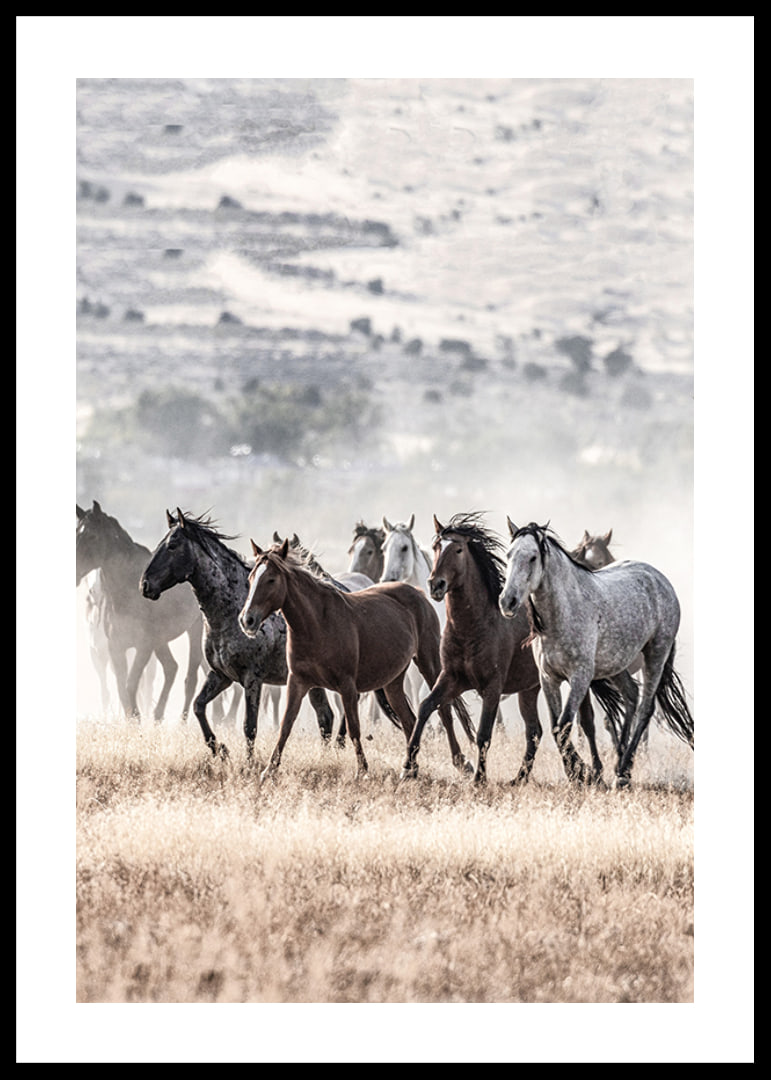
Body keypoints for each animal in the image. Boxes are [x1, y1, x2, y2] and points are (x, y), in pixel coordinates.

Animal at [76, 501, 205, 722]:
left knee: (191, 677)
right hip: (161, 640)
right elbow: (121, 688)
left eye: (92, 536)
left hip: (194, 629)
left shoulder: (144, 646)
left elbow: (130, 684)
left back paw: (181, 721)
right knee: (171, 668)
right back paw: (158, 716)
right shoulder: (116, 647)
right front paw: (133, 720)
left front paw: (136, 719)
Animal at [139, 510, 336, 759]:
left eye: (173, 545)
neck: (231, 613)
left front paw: (249, 764)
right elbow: (198, 706)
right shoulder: (221, 675)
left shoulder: (253, 678)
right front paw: (220, 750)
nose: (145, 585)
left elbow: (249, 726)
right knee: (325, 717)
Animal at [238, 538, 475, 783]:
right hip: (393, 682)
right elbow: (286, 724)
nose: (247, 620)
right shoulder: (298, 682)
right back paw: (411, 768)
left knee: (444, 710)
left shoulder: (347, 686)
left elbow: (353, 727)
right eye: (251, 578)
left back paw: (460, 762)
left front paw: (362, 771)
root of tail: (418, 592)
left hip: (429, 663)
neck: (317, 623)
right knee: (409, 719)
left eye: (271, 579)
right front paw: (269, 770)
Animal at [402, 513, 624, 784]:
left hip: (576, 681)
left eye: (458, 549)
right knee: (536, 731)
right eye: (436, 547)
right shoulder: (451, 679)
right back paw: (522, 778)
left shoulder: (492, 687)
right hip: (529, 689)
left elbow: (484, 733)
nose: (435, 584)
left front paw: (479, 779)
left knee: (586, 723)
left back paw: (594, 773)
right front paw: (408, 766)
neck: (474, 627)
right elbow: (425, 708)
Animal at [499, 520, 693, 786]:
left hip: (655, 656)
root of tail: (660, 579)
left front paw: (582, 774)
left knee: (645, 708)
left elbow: (566, 725)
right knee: (631, 696)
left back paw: (624, 772)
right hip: (617, 664)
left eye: (532, 557)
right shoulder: (548, 678)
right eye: (509, 555)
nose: (507, 601)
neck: (565, 611)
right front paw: (581, 773)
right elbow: (557, 727)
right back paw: (619, 762)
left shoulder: (580, 678)